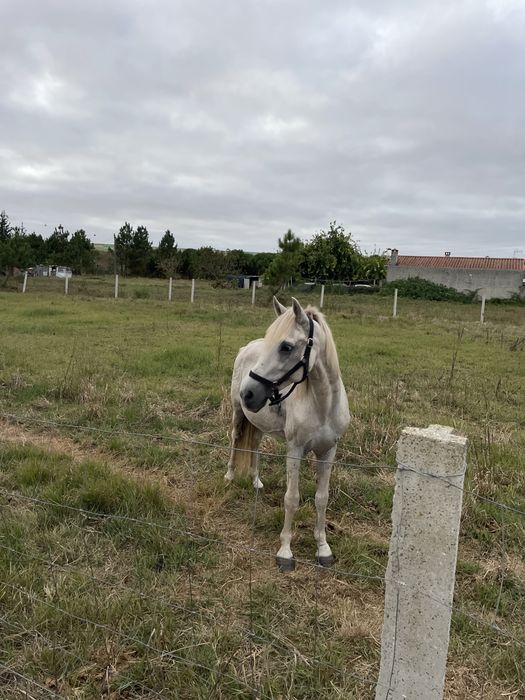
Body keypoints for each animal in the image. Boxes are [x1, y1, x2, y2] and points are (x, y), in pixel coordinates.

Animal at [225, 296, 350, 571]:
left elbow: (322, 498)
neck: (323, 405)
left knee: (255, 445)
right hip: (238, 414)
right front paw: (285, 552)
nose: (248, 393)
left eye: (286, 346)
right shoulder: (295, 450)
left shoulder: (329, 451)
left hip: (259, 422)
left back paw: (256, 481)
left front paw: (323, 548)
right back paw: (229, 475)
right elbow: (291, 498)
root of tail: (247, 347)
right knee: (235, 440)